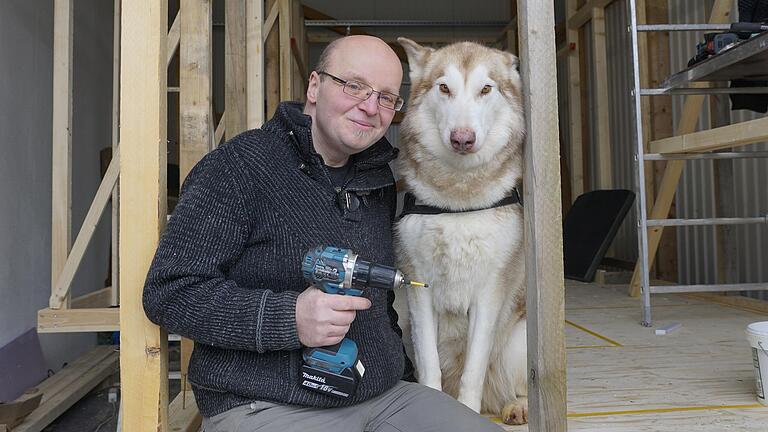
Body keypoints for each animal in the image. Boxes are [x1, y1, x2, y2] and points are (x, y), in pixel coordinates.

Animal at [392, 38, 532, 426]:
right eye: (444, 88)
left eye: (485, 89)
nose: (462, 139)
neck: (458, 202)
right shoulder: (418, 290)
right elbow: (429, 367)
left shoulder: (488, 294)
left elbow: (473, 370)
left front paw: (464, 411)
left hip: (521, 338)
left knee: (511, 387)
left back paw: (517, 407)